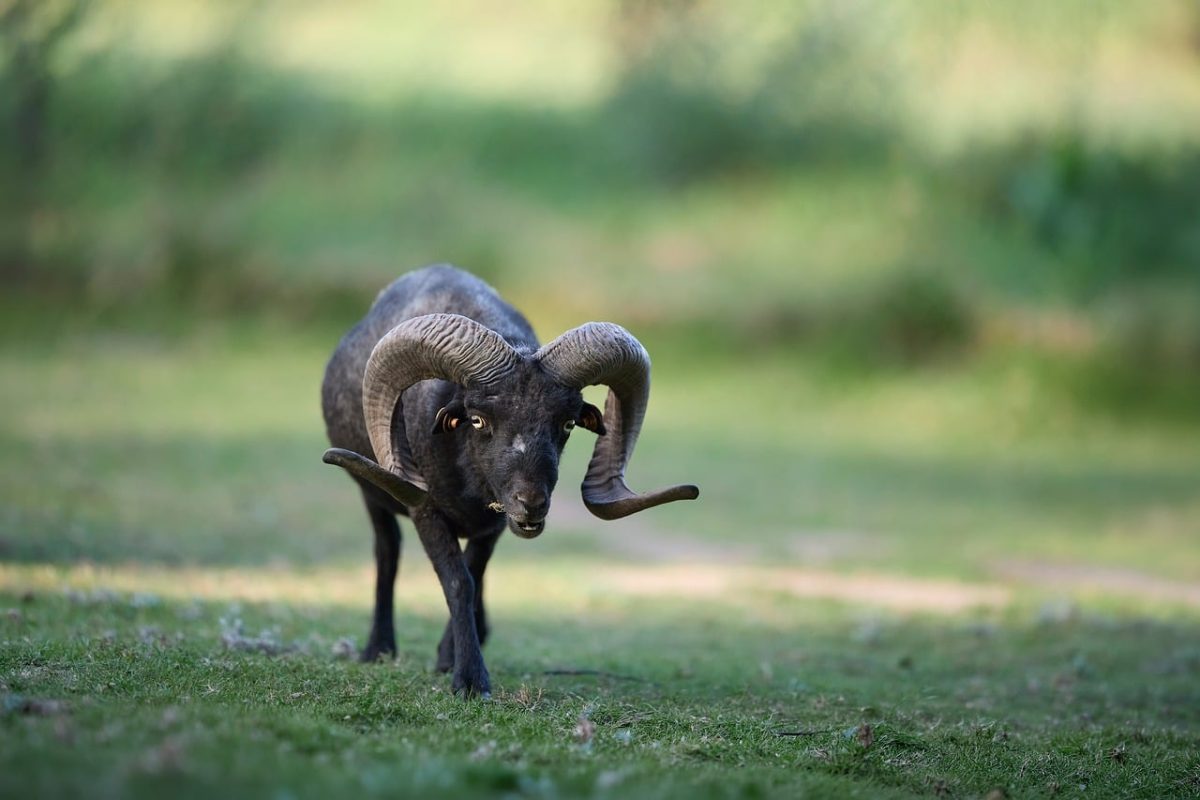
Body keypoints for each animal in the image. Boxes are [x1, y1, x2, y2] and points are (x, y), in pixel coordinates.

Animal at [320, 264, 699, 696]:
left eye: (568, 423)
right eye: (477, 420)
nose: (531, 503)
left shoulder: (494, 525)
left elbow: (474, 573)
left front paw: (449, 657)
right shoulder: (425, 510)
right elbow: (458, 582)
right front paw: (469, 679)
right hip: (375, 497)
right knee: (387, 553)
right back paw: (379, 648)